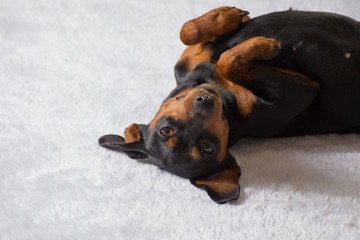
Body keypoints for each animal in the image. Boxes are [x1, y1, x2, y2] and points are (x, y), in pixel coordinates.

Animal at [98, 7, 360, 202]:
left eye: (166, 130)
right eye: (207, 147)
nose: (205, 101)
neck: (221, 89)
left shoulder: (188, 61)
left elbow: (187, 31)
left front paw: (228, 16)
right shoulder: (302, 92)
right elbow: (227, 61)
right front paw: (265, 45)